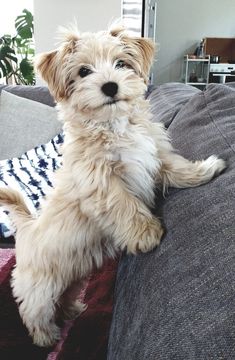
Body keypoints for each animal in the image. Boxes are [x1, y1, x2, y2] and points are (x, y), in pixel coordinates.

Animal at [0, 26, 226, 346]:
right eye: (83, 71)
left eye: (121, 63)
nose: (110, 86)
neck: (113, 125)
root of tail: (28, 226)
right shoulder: (101, 181)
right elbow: (124, 204)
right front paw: (146, 233)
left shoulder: (153, 151)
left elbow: (175, 166)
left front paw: (205, 170)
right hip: (40, 283)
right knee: (35, 309)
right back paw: (47, 337)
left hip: (75, 273)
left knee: (65, 295)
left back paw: (71, 310)